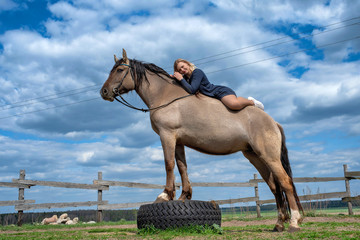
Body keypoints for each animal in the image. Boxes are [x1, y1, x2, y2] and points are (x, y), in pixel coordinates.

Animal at [100, 49, 304, 232]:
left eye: (119, 70)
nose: (104, 92)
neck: (166, 95)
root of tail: (273, 121)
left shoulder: (167, 135)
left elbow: (169, 164)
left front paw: (165, 195)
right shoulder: (179, 141)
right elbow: (182, 167)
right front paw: (184, 196)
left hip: (269, 156)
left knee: (285, 182)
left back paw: (294, 223)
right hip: (255, 156)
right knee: (275, 187)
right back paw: (279, 224)